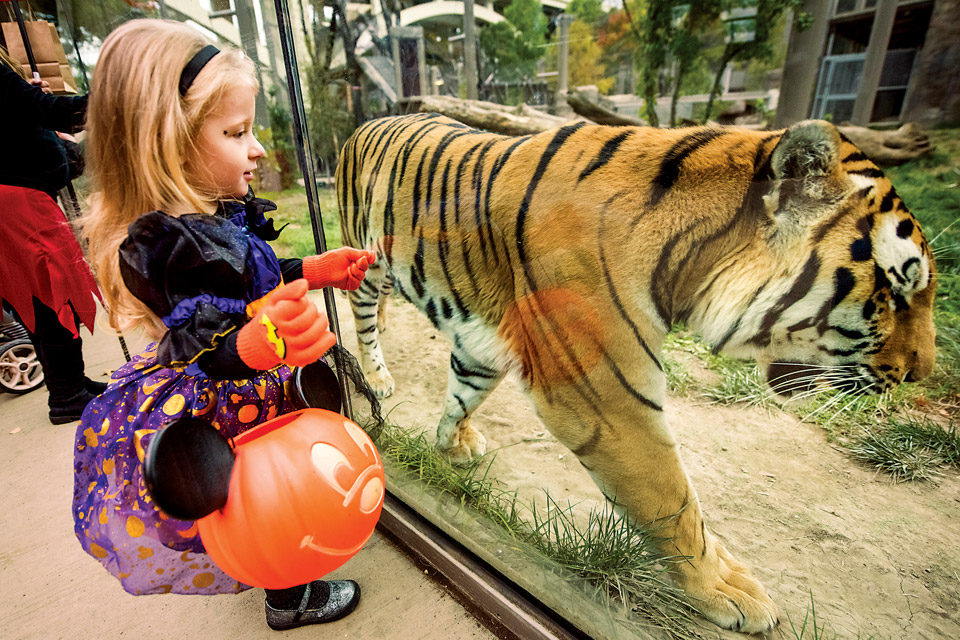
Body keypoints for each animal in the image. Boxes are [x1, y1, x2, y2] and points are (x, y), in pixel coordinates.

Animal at [334, 112, 932, 632]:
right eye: (896, 291)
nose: (920, 374)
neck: (690, 256)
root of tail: (364, 121)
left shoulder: (489, 341)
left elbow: (463, 391)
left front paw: (450, 445)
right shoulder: (606, 400)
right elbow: (674, 502)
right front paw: (724, 591)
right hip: (363, 261)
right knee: (358, 313)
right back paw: (375, 376)